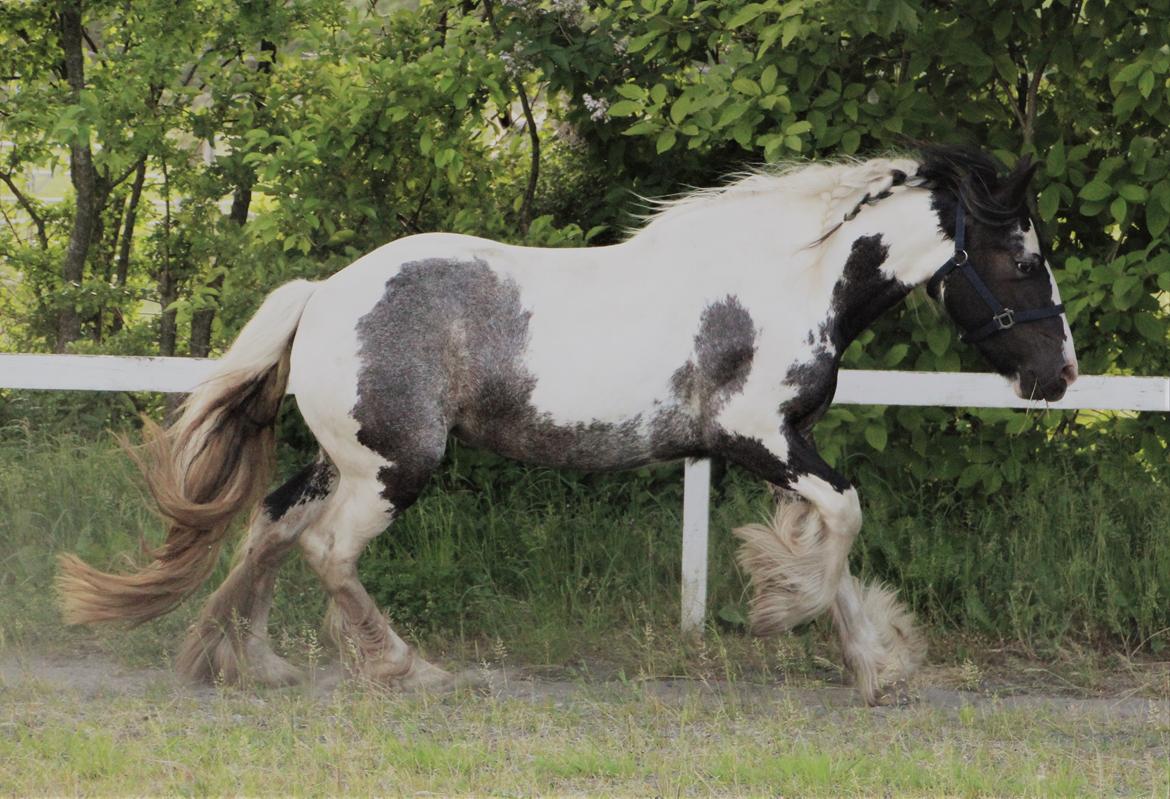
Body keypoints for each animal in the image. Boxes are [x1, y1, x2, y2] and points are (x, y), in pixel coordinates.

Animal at [57, 145, 1076, 706]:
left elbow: (829, 537)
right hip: (394, 468)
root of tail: (323, 293)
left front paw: (866, 655)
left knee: (270, 526)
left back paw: (236, 660)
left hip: (345, 458)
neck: (784, 284)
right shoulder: (761, 439)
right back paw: (407, 671)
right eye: (1025, 258)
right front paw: (824, 635)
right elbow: (845, 519)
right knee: (327, 551)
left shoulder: (780, 447)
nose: (1058, 375)